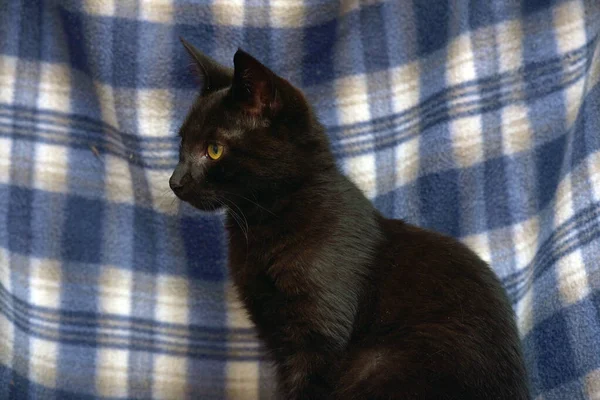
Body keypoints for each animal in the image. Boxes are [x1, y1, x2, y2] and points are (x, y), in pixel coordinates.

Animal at [170, 38, 528, 400]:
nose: (175, 181)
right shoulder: (280, 343)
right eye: (182, 144)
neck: (263, 221)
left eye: (214, 150)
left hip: (380, 362)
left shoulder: (317, 338)